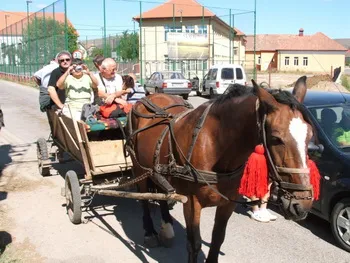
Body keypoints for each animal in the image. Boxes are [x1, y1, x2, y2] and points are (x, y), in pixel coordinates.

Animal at [127, 75, 316, 262]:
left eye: (310, 135)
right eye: (276, 138)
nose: (302, 204)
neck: (214, 143)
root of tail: (150, 96)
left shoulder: (228, 203)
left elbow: (218, 239)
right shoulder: (192, 203)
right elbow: (194, 244)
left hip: (157, 170)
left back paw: (166, 227)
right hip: (139, 168)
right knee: (144, 198)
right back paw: (149, 232)